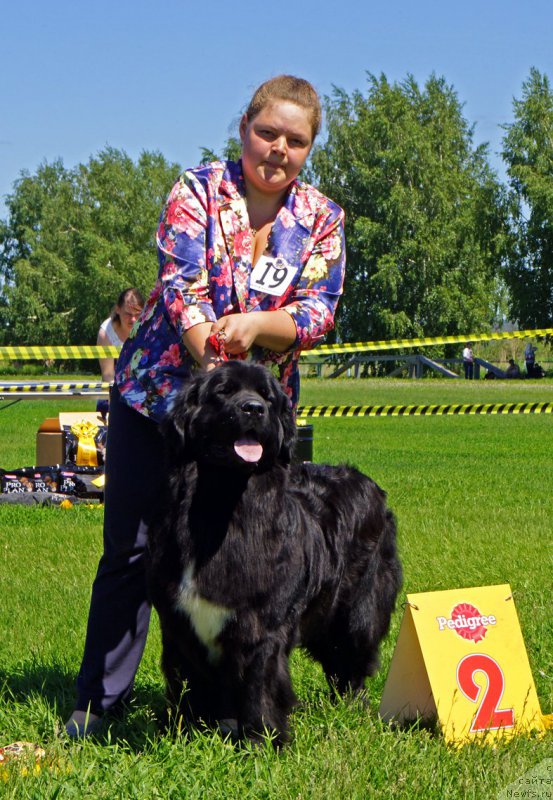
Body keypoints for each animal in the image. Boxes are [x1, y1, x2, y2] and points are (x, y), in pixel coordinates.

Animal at [147, 360, 398, 748]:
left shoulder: (262, 624)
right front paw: (189, 735)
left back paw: (353, 708)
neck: (220, 505)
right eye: (223, 391)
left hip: (359, 610)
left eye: (267, 397)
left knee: (352, 660)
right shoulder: (179, 623)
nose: (253, 409)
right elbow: (189, 683)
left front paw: (261, 742)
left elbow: (259, 685)